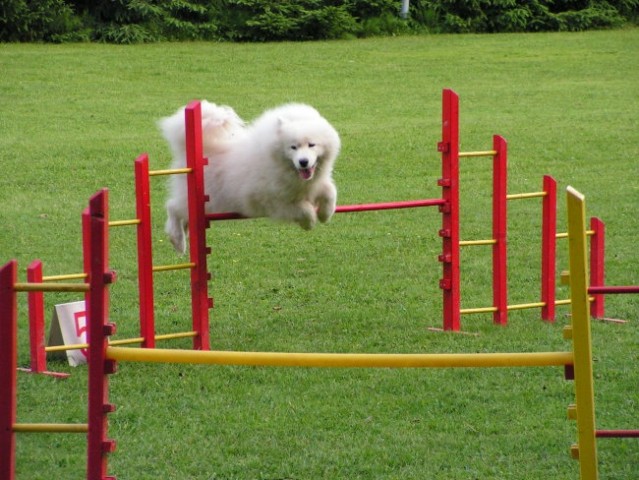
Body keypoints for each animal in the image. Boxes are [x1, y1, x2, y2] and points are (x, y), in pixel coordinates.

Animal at [158, 99, 342, 253]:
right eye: (293, 147)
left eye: (311, 145)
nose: (303, 162)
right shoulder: (275, 201)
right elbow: (304, 209)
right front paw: (309, 223)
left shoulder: (315, 184)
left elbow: (330, 191)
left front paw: (325, 214)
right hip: (203, 201)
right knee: (172, 207)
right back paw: (177, 240)